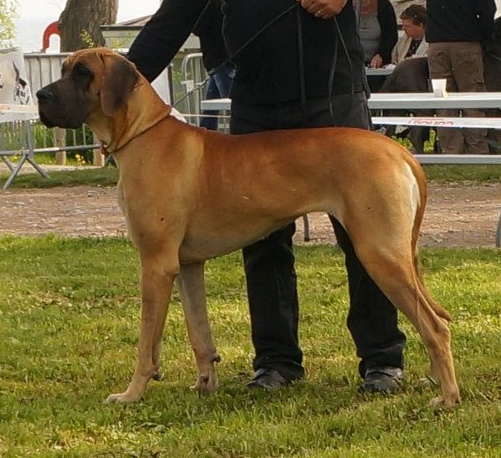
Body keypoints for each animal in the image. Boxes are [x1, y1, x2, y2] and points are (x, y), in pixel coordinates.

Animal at [36, 48, 460, 408]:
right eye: (64, 69)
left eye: (83, 73)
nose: (40, 95)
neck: (143, 132)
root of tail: (399, 151)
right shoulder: (185, 265)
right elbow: (199, 332)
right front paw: (205, 385)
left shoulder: (156, 264)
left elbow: (146, 344)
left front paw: (131, 394)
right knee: (432, 322)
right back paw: (435, 381)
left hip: (379, 253)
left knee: (435, 327)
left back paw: (447, 397)